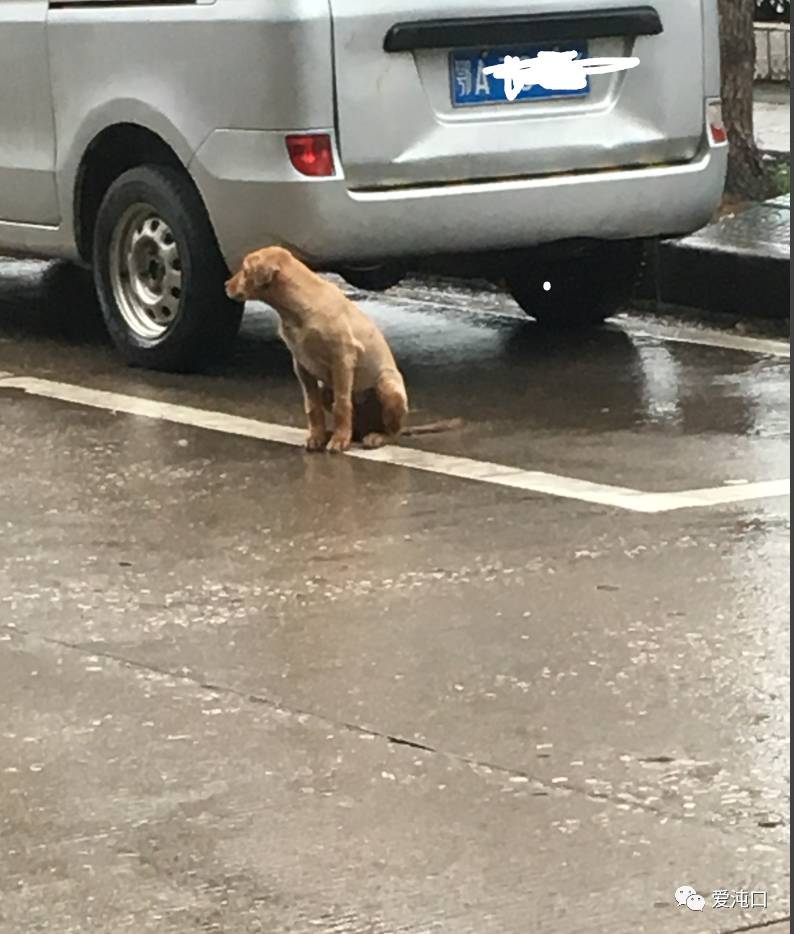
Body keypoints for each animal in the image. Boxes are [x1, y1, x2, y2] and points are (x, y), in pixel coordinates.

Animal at [221, 247, 408, 456]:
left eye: (245, 270)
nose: (225, 284)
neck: (297, 310)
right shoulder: (301, 365)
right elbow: (312, 405)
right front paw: (317, 436)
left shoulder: (342, 359)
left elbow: (342, 404)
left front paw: (339, 440)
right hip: (326, 389)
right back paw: (336, 433)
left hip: (388, 388)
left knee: (393, 431)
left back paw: (375, 437)